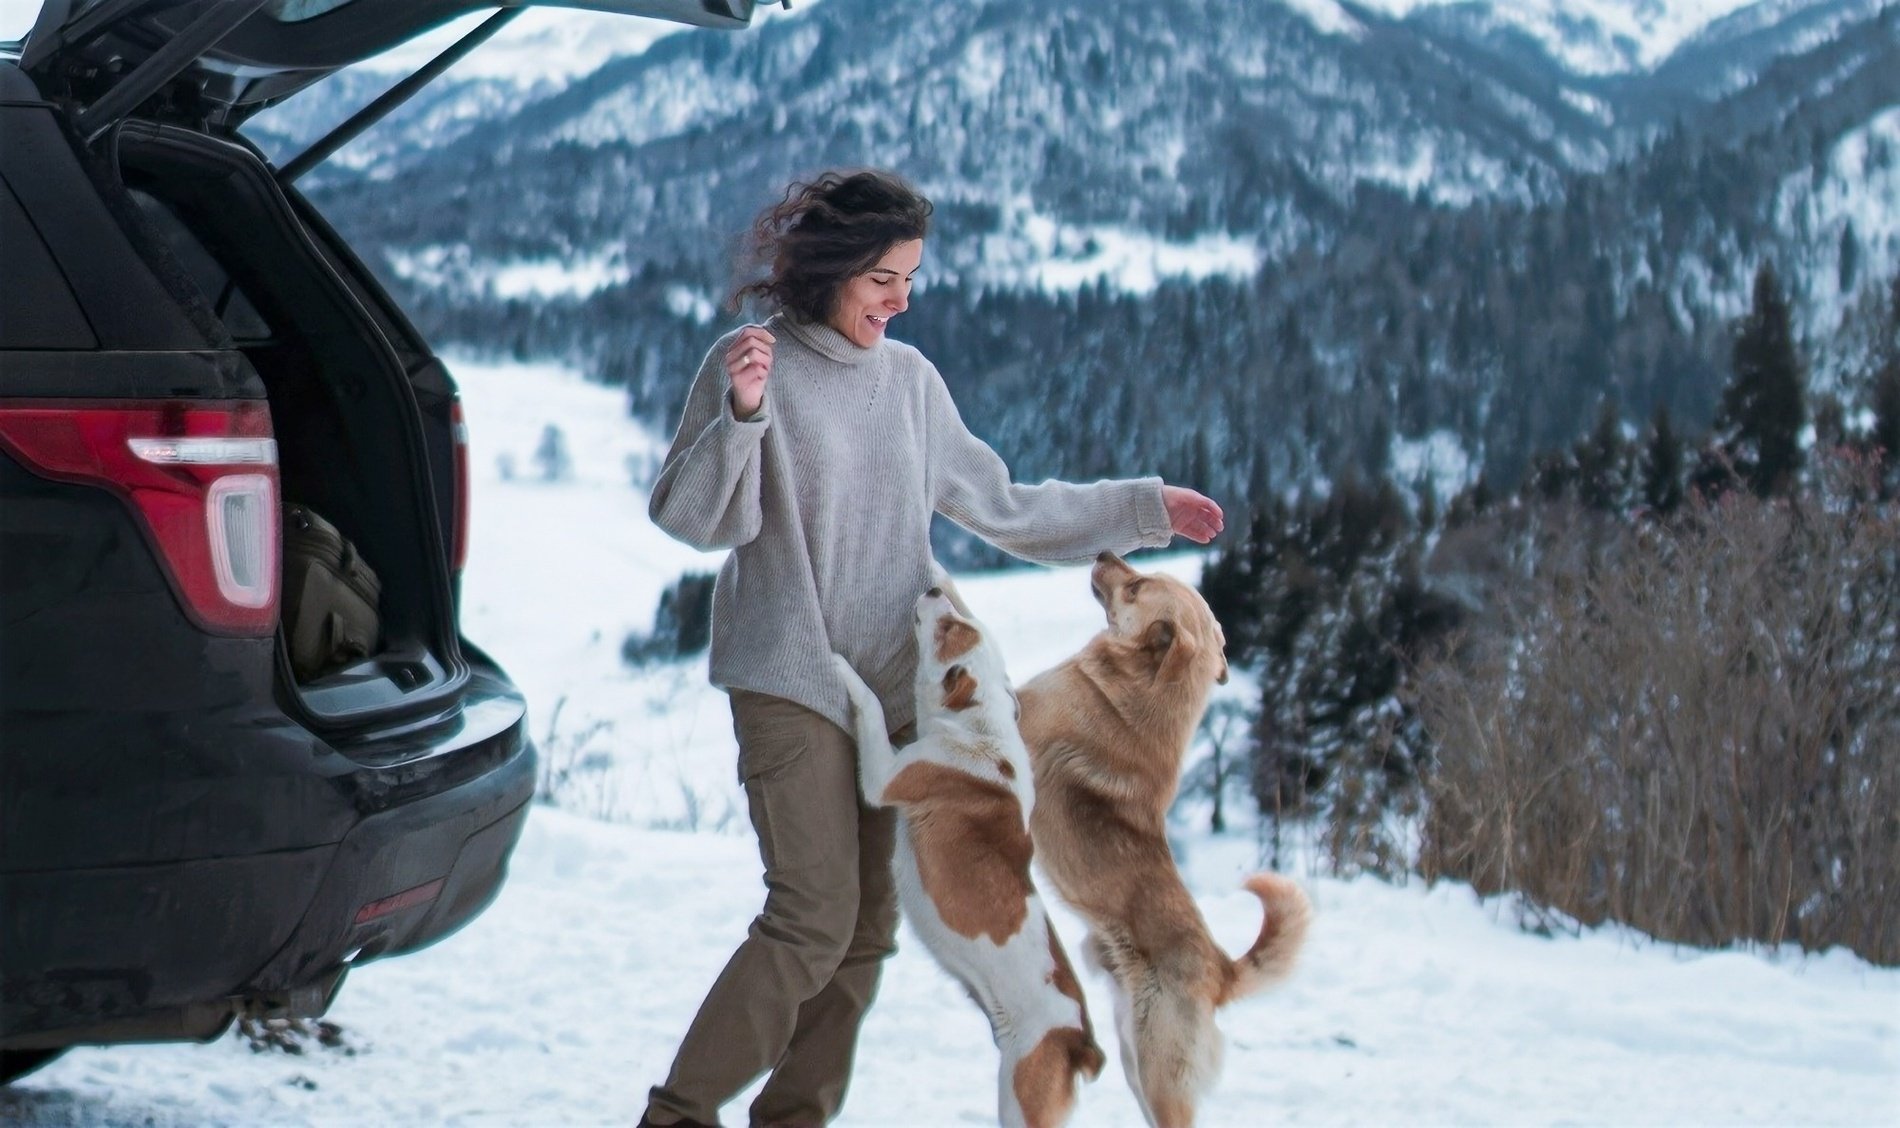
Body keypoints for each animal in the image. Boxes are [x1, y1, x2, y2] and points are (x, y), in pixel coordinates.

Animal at [1018, 554, 1314, 1124]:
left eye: (1136, 587)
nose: (1104, 554)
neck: (1137, 688)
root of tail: (1222, 970)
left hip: (1158, 1072)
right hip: (1135, 1060)